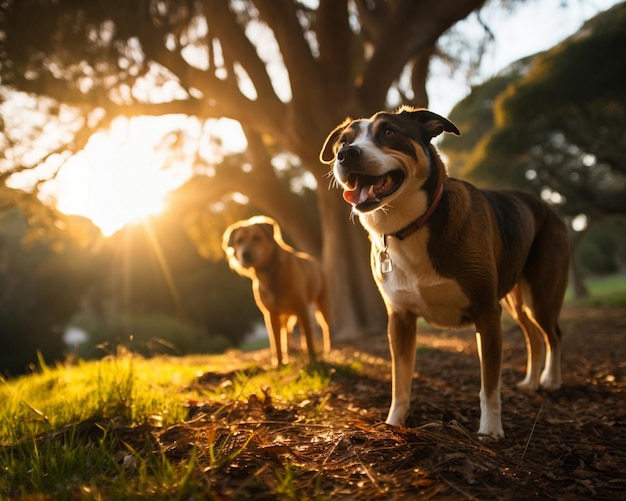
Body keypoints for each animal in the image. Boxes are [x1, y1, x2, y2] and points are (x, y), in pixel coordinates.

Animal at [221, 215, 330, 368]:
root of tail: (316, 262)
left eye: (257, 238)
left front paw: (313, 361)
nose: (245, 254)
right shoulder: (271, 314)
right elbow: (276, 341)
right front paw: (279, 364)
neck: (270, 273)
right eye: (239, 241)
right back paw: (290, 353)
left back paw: (326, 349)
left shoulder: (302, 308)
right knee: (287, 333)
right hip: (286, 316)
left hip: (321, 306)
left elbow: (308, 338)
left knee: (323, 327)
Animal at [320, 106, 568, 438]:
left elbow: (489, 385)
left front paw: (490, 428)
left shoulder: (486, 312)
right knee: (533, 336)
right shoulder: (400, 320)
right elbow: (400, 382)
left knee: (552, 333)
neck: (412, 226)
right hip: (516, 300)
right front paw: (393, 423)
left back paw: (551, 380)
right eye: (343, 142)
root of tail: (546, 205)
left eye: (389, 132)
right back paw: (530, 382)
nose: (346, 154)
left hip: (541, 294)